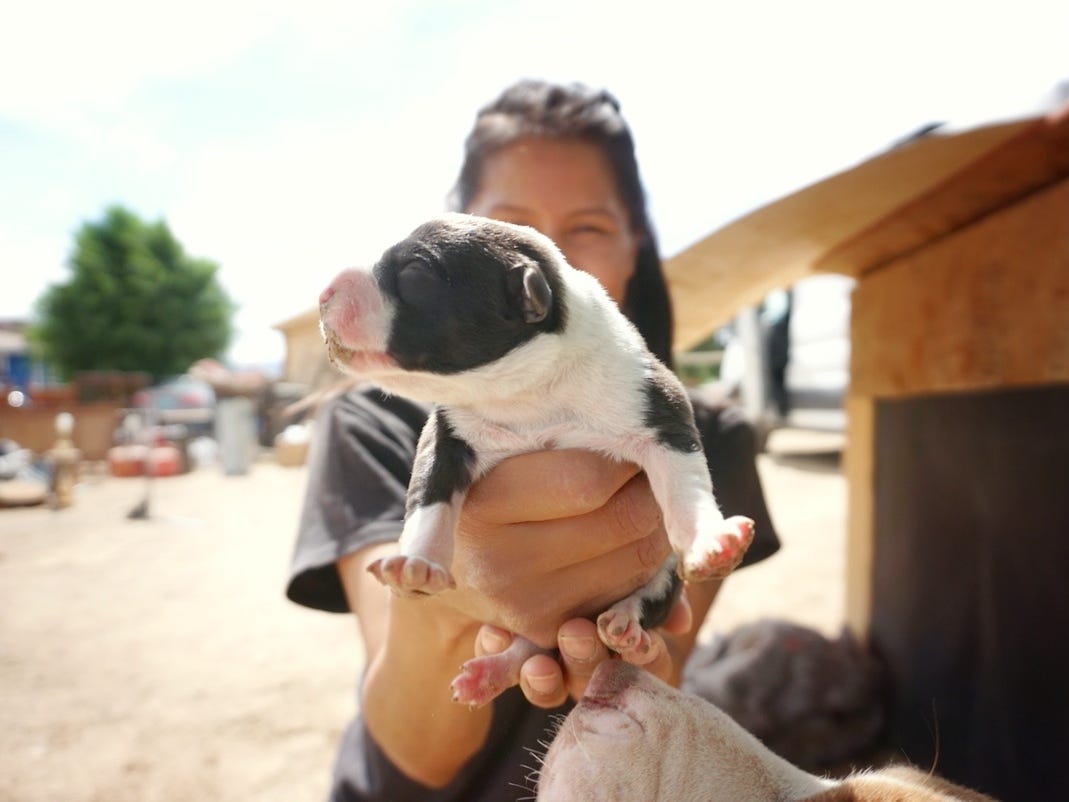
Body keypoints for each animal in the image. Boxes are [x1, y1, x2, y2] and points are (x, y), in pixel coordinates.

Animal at [316, 214, 752, 710]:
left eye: (414, 274)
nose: (323, 293)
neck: (525, 393)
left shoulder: (660, 411)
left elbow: (684, 491)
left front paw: (710, 543)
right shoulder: (447, 439)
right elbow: (429, 503)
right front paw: (415, 564)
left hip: (660, 581)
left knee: (650, 598)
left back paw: (625, 623)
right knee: (532, 642)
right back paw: (492, 670)